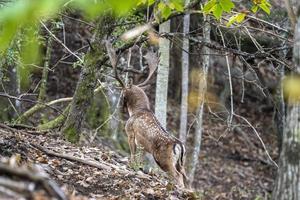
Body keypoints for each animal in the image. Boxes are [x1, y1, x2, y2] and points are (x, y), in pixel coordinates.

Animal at [106, 41, 188, 188]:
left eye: (123, 93)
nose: (121, 107)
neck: (137, 110)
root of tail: (179, 145)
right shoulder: (142, 145)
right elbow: (140, 158)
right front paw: (139, 168)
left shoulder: (130, 132)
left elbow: (132, 154)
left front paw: (132, 166)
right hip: (180, 162)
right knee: (183, 175)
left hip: (164, 159)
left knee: (177, 176)